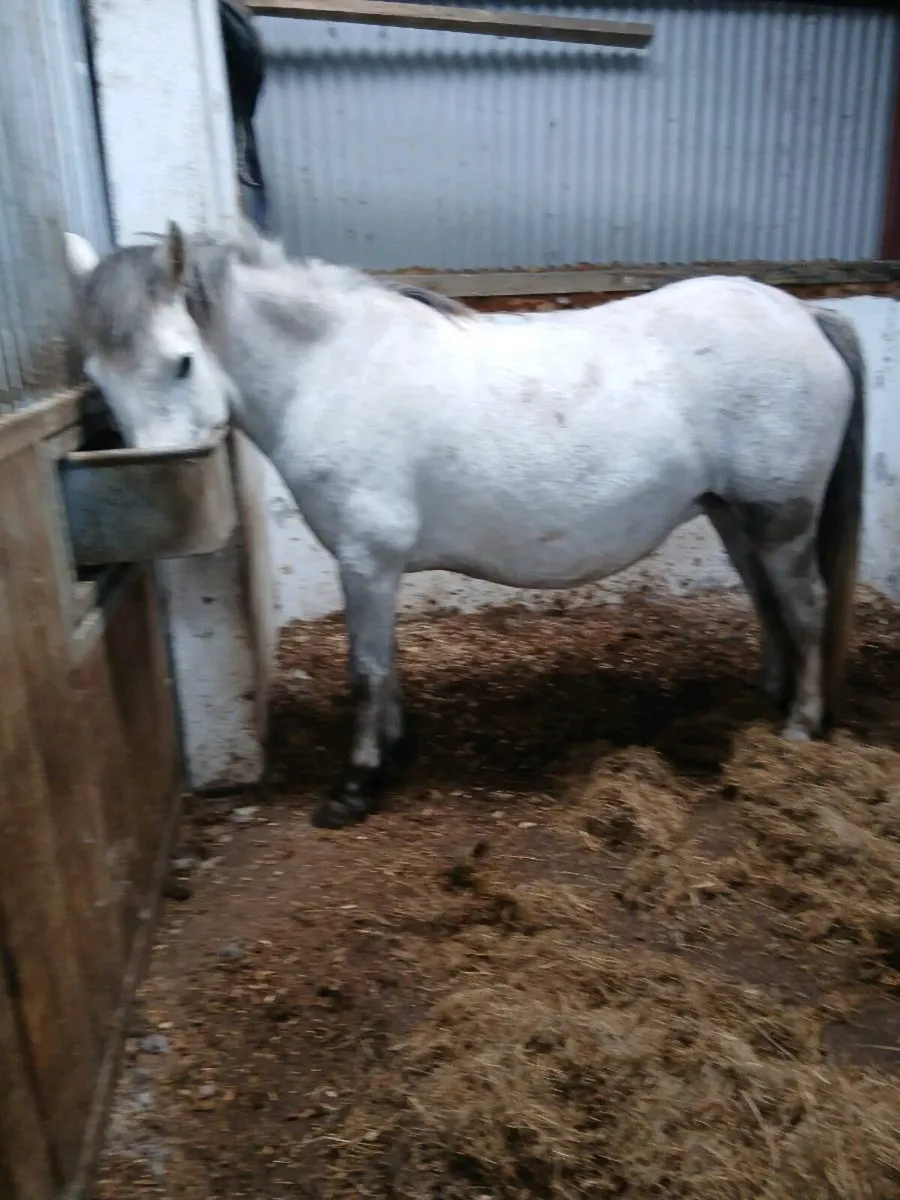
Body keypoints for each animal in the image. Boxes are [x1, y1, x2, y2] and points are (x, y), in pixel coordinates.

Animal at [63, 220, 865, 829]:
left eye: (181, 361)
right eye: (98, 379)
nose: (162, 483)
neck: (333, 370)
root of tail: (807, 316)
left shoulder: (366, 559)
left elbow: (366, 670)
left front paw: (355, 786)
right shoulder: (373, 566)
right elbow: (384, 663)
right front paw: (395, 749)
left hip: (780, 518)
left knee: (806, 606)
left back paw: (800, 725)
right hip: (734, 516)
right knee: (769, 604)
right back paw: (763, 701)